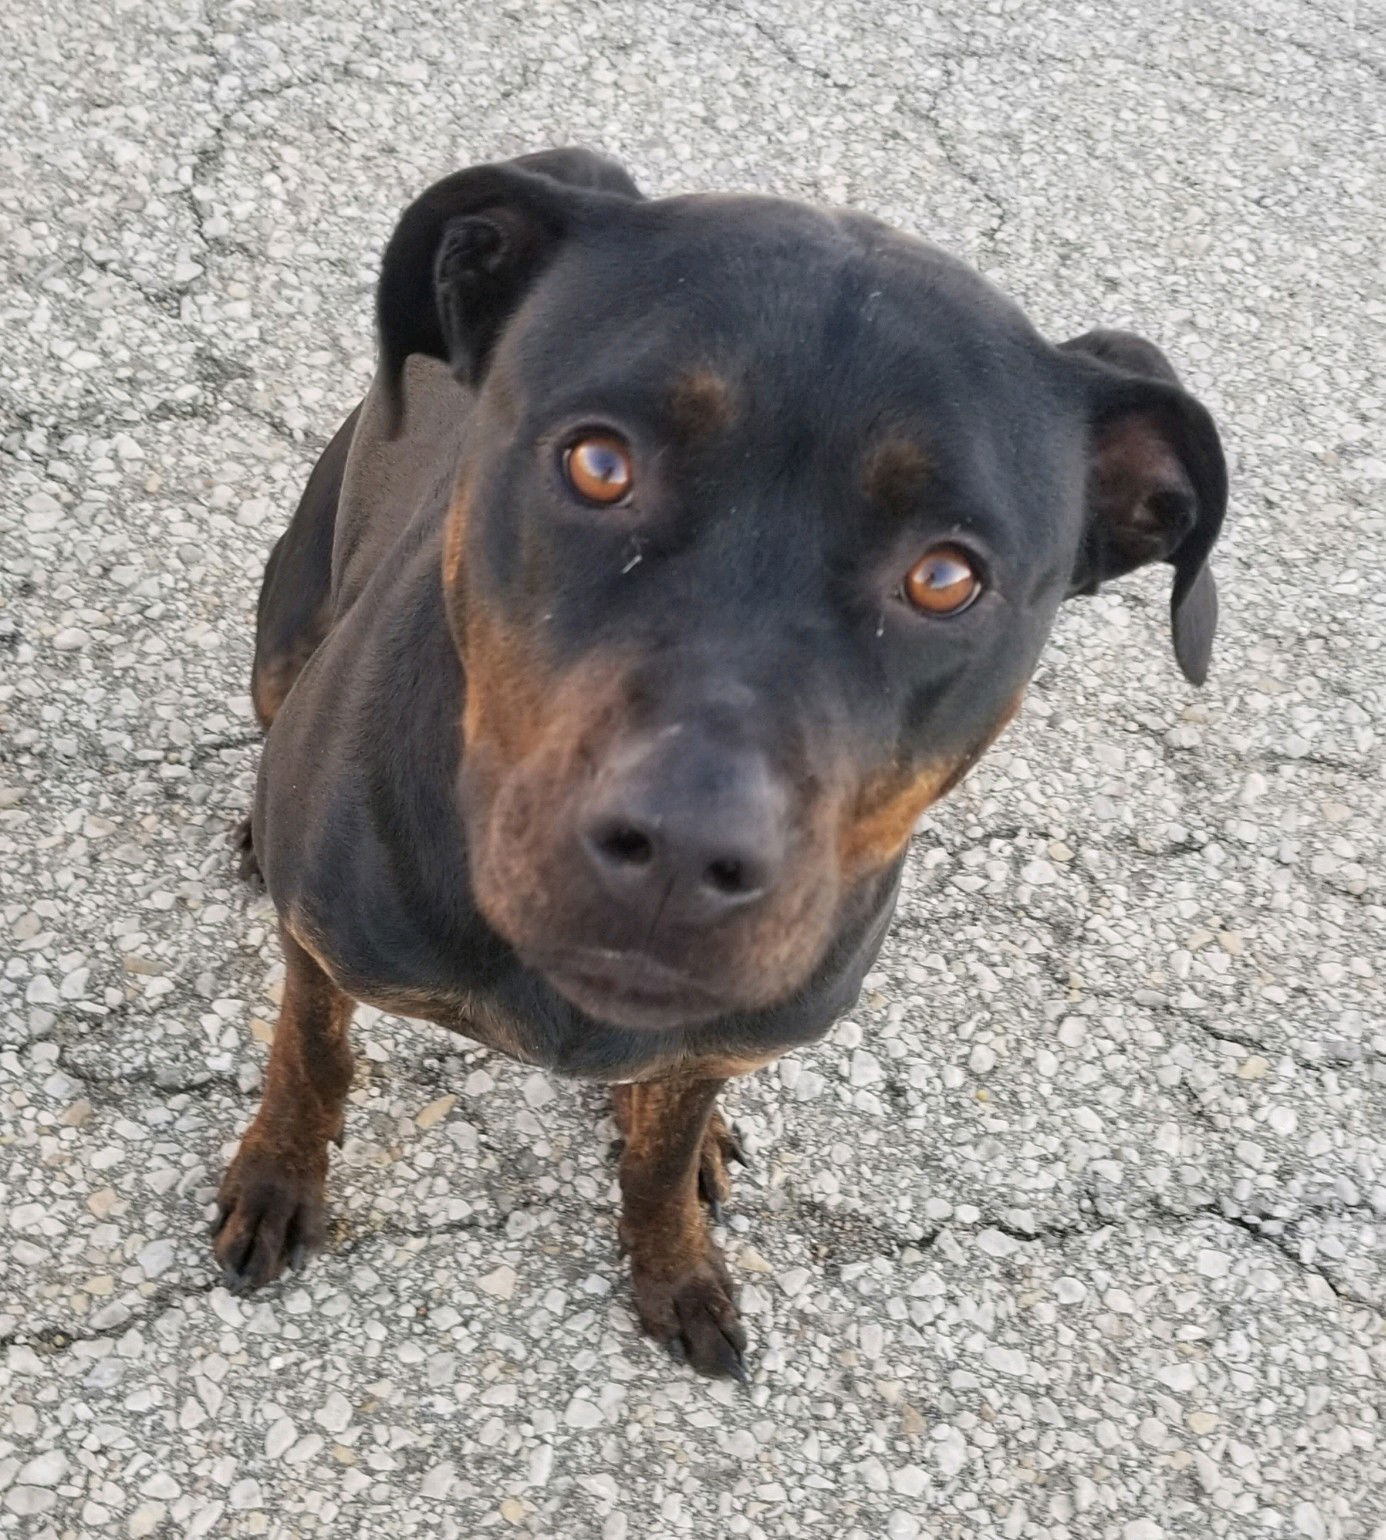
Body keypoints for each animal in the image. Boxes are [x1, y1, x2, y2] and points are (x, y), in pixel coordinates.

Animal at [214, 144, 1225, 1379]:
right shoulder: (322, 944)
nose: (682, 850)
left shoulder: (728, 1030)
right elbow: (310, 1057)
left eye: (947, 578)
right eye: (599, 464)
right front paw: (277, 1179)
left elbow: (661, 1145)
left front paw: (675, 1259)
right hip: (285, 633)